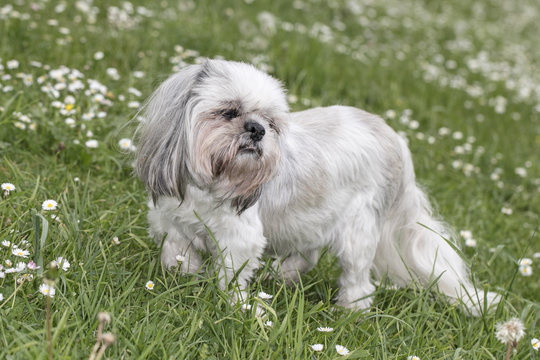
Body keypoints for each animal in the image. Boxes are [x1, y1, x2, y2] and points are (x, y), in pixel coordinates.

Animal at [134, 59, 498, 316]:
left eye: (271, 122)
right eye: (229, 111)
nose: (256, 129)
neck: (213, 180)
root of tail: (398, 142)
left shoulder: (239, 238)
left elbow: (231, 278)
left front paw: (237, 306)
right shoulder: (170, 222)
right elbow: (176, 254)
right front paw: (182, 279)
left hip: (358, 232)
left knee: (358, 282)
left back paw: (348, 312)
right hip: (309, 216)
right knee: (306, 255)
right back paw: (279, 276)